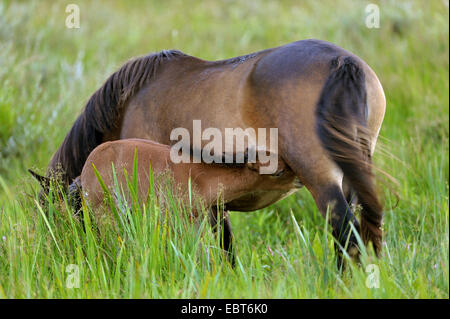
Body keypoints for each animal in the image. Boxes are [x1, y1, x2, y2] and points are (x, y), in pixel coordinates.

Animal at [44, 38, 386, 262]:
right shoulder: (211, 200)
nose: (74, 253)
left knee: (346, 234)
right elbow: (227, 246)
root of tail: (342, 62)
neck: (130, 102)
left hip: (323, 181)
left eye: (66, 216)